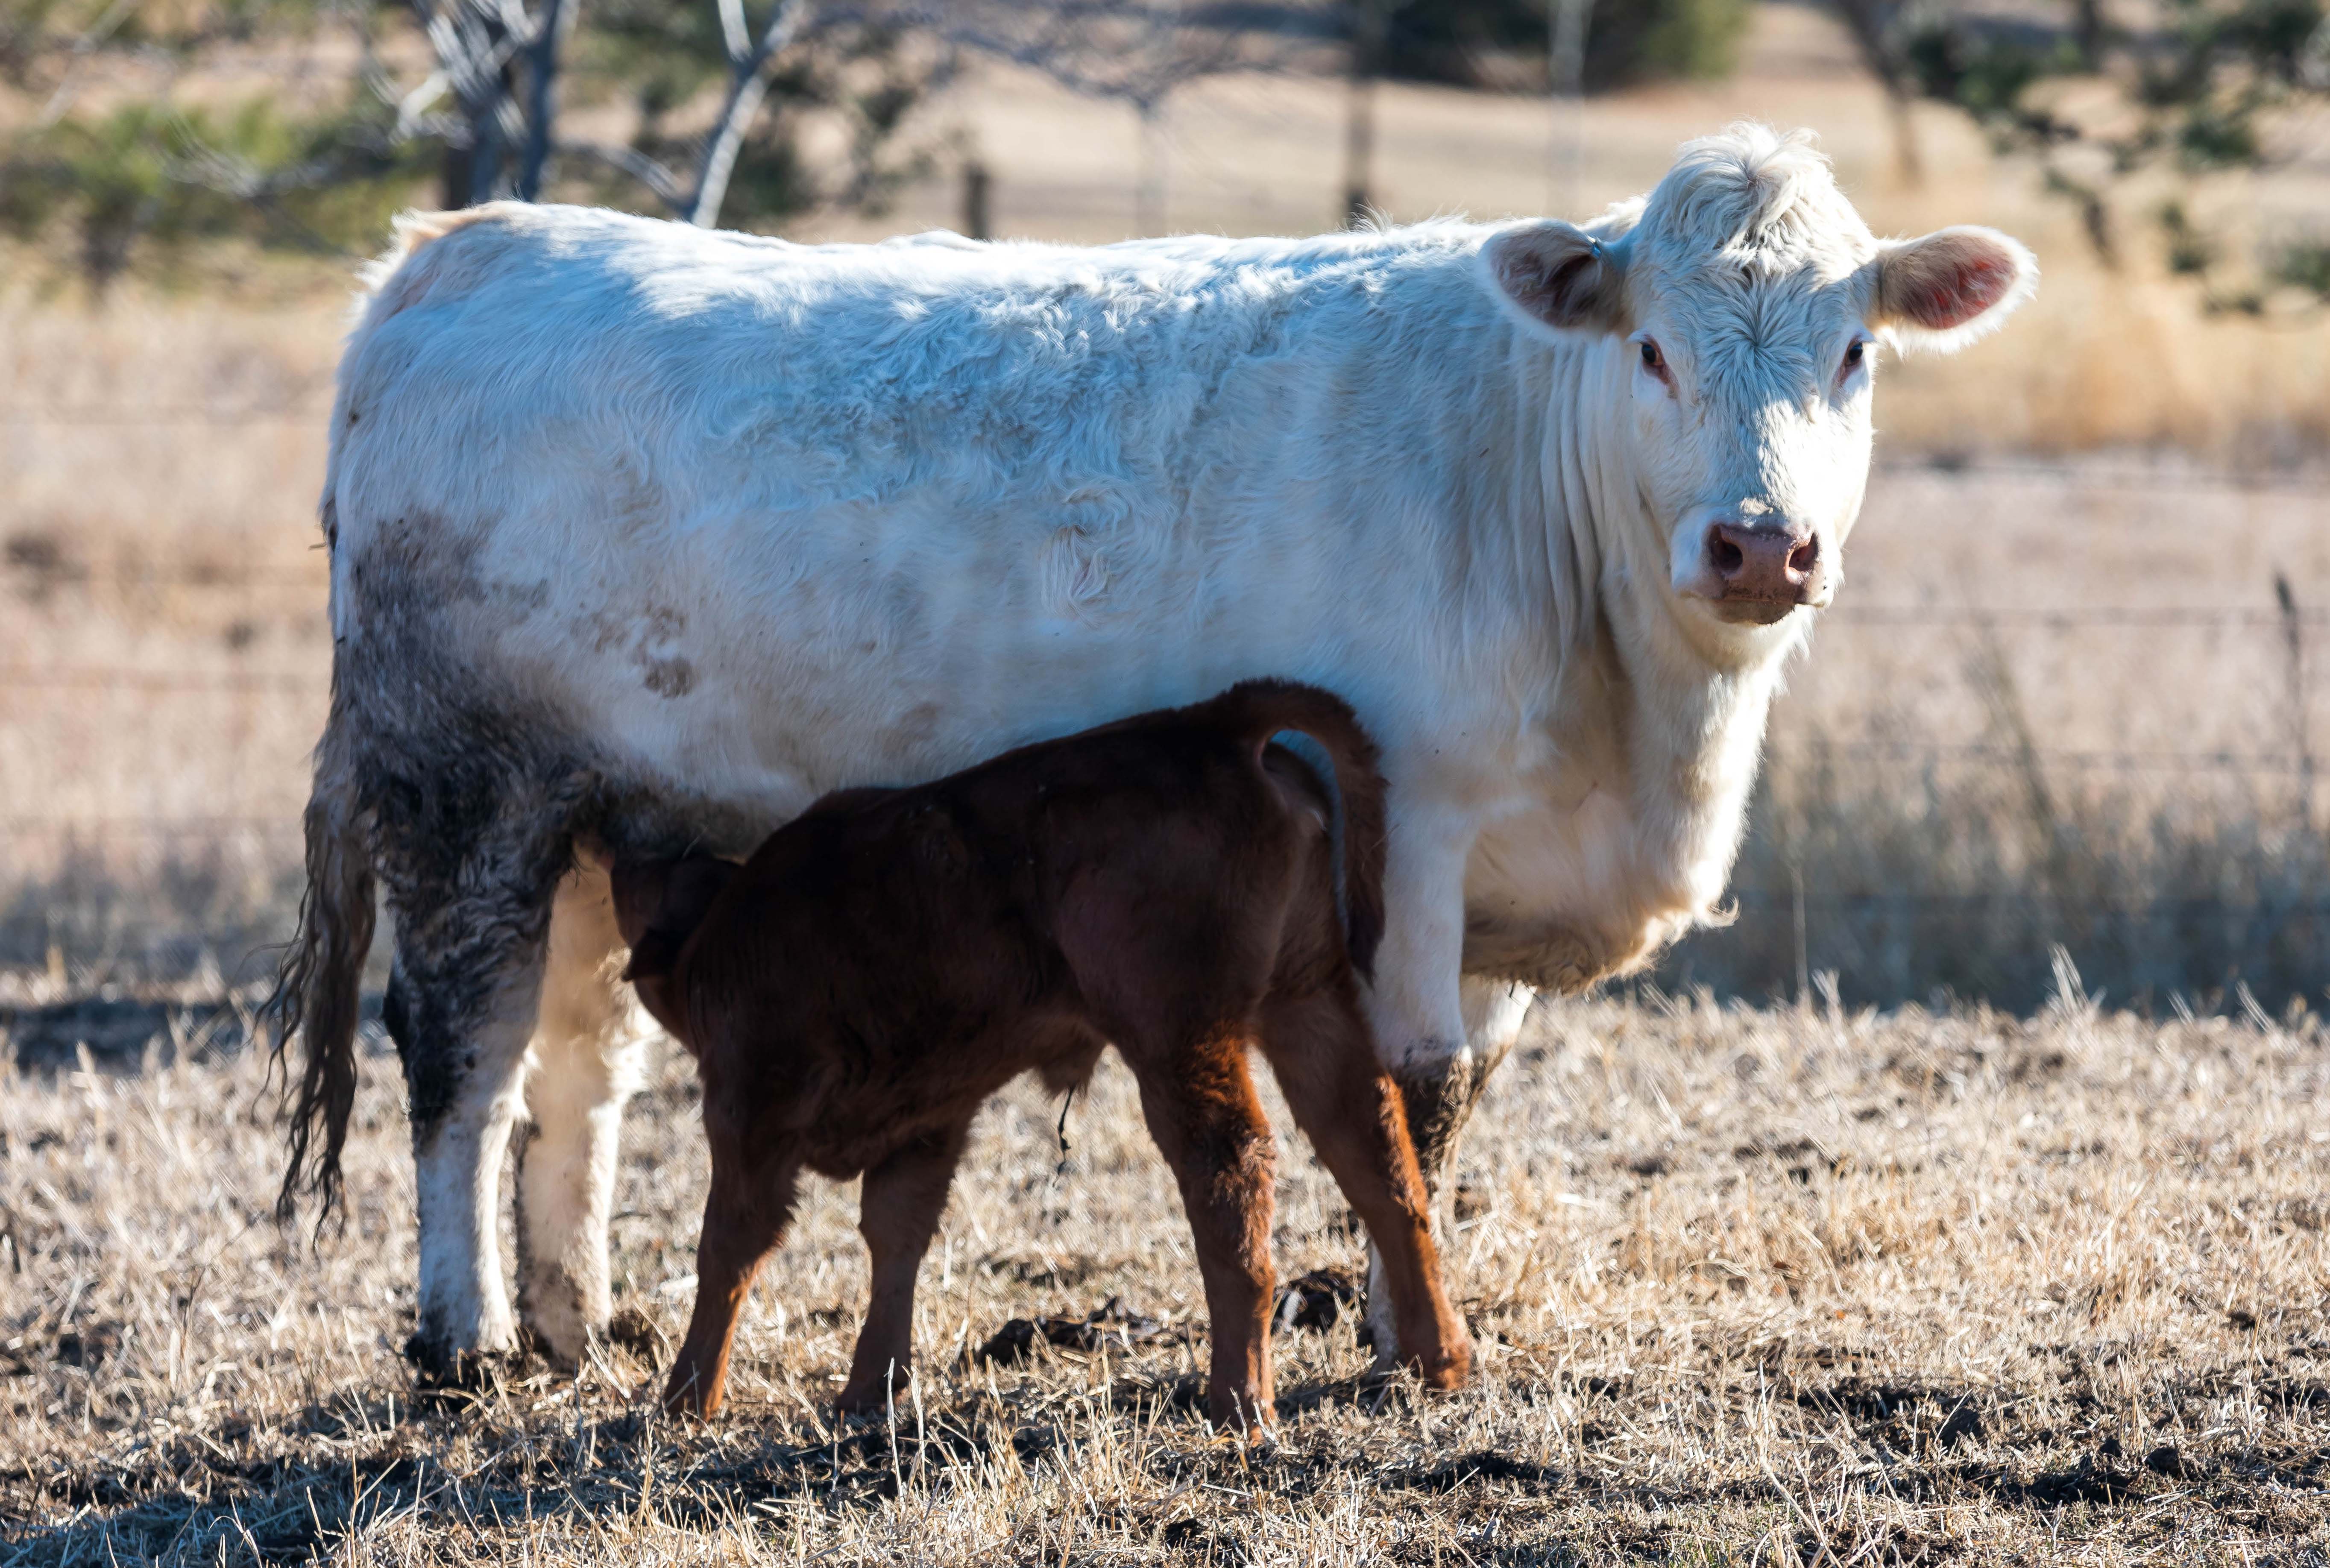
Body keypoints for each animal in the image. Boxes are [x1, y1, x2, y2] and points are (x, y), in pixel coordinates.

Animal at [610, 679, 1468, 1430]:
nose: (624, 854)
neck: (724, 927)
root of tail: (1213, 724)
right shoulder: (927, 1121)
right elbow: (895, 1235)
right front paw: (867, 1391)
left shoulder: (747, 1104)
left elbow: (730, 1245)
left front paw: (683, 1401)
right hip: (1306, 1002)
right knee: (1380, 1163)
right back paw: (1436, 1361)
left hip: (1178, 1034)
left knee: (1232, 1171)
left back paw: (1239, 1401)